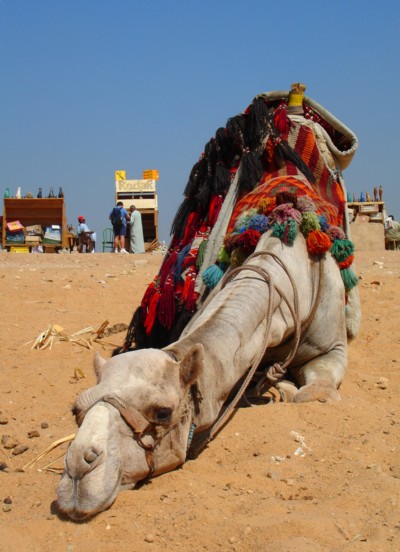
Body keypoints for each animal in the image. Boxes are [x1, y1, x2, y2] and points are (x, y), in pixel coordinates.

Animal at [55, 84, 360, 520]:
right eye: (76, 410)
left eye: (162, 412)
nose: (79, 468)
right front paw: (275, 386)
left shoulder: (331, 349)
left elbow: (312, 393)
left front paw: (285, 388)